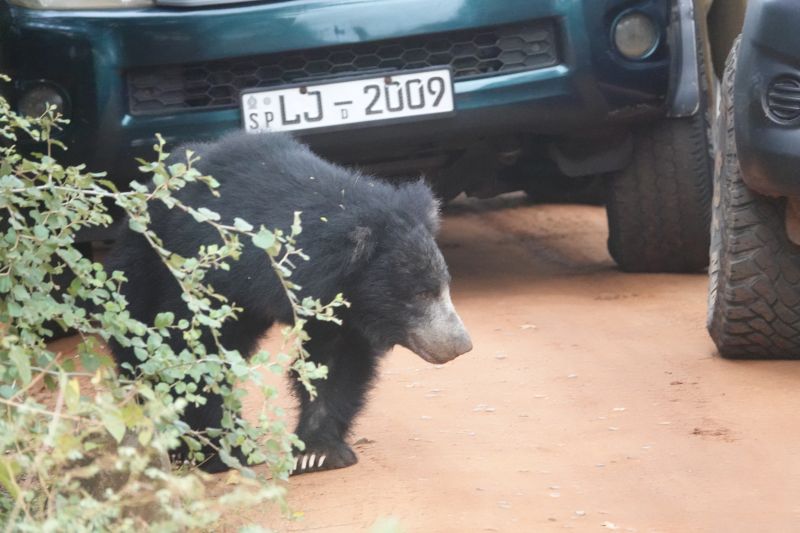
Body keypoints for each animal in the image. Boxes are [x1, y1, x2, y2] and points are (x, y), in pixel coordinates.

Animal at [104, 131, 472, 474]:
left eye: (444, 286)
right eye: (421, 293)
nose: (461, 345)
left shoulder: (338, 307)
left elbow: (335, 363)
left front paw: (317, 453)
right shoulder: (205, 271)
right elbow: (195, 350)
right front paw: (225, 450)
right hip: (139, 263)